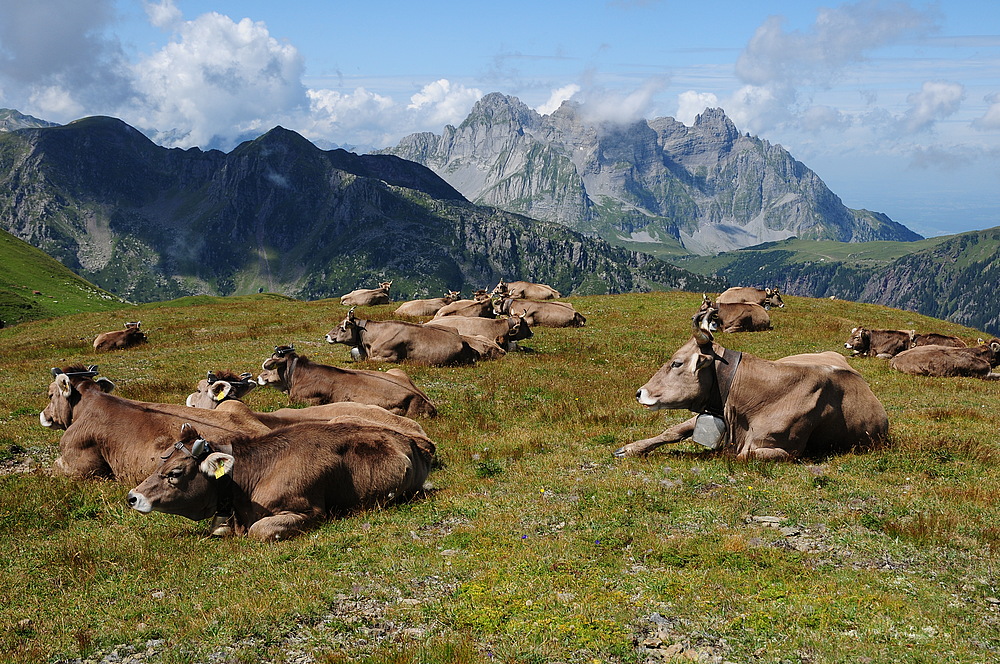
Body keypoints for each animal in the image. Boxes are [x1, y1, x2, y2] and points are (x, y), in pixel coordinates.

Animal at [128, 422, 434, 544]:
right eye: (159, 464)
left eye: (175, 472)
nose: (132, 496)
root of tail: (410, 441)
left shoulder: (309, 511)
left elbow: (260, 531)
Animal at [616, 312, 892, 462]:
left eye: (676, 363)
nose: (640, 392)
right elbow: (671, 431)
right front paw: (630, 448)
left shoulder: (782, 450)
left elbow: (737, 454)